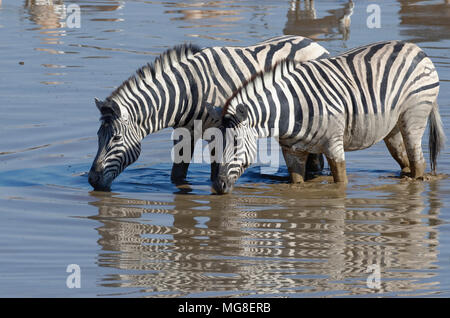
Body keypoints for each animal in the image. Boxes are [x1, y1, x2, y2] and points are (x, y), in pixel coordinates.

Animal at [89, 36, 330, 190]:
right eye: (98, 137)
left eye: (116, 138)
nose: (92, 180)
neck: (188, 92)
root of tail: (312, 42)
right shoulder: (184, 132)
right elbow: (178, 173)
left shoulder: (221, 133)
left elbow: (217, 169)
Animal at [213, 39, 444, 194]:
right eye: (212, 147)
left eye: (235, 144)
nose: (217, 186)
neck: (290, 108)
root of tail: (415, 48)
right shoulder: (292, 151)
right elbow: (297, 183)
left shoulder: (334, 144)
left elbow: (340, 183)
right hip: (392, 127)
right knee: (403, 158)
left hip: (414, 115)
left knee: (418, 160)